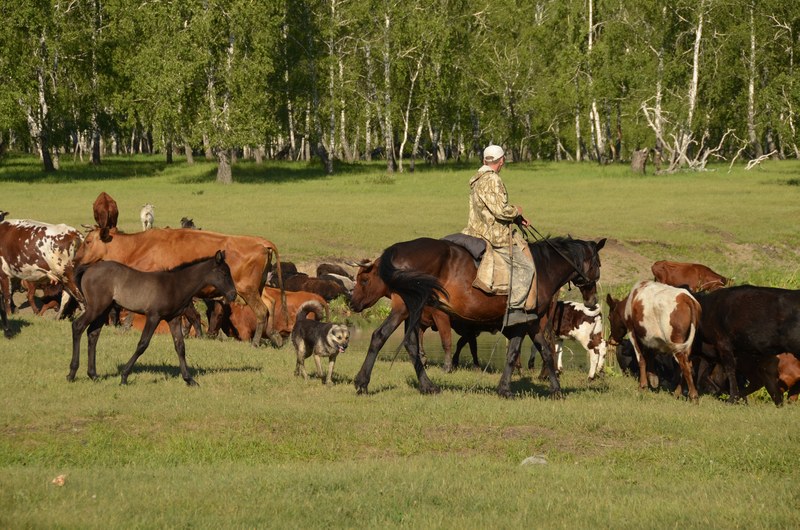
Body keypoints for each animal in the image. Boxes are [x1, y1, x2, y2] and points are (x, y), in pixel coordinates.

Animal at [68, 250, 238, 386]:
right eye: (224, 273)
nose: (233, 295)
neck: (176, 285)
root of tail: (89, 269)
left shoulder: (173, 319)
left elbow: (180, 346)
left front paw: (189, 379)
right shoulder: (153, 316)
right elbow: (142, 344)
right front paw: (124, 377)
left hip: (104, 309)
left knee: (93, 333)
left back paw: (93, 375)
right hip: (96, 307)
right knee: (78, 326)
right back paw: (72, 374)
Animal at [74, 227, 288, 346]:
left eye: (88, 241)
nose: (75, 259)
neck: (139, 245)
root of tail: (259, 242)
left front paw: (125, 327)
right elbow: (188, 314)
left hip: (247, 290)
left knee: (261, 311)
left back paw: (256, 342)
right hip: (258, 288)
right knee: (270, 303)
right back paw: (274, 336)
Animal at [350, 235, 608, 396]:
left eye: (363, 280)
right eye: (598, 263)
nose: (593, 300)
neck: (542, 268)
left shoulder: (531, 322)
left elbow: (541, 351)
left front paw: (549, 389)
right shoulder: (526, 321)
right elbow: (517, 353)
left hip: (410, 309)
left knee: (411, 346)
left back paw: (427, 386)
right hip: (404, 307)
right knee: (380, 336)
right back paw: (362, 383)